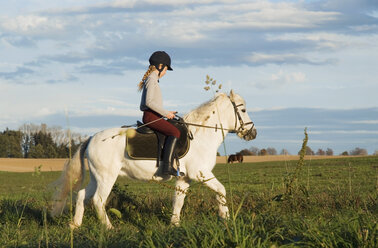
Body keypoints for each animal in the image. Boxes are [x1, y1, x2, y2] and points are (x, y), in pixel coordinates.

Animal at [51, 90, 256, 229]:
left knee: (82, 195)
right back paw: (109, 228)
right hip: (106, 177)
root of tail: (92, 138)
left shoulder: (184, 178)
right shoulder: (201, 173)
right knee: (98, 200)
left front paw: (174, 225)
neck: (200, 135)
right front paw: (226, 219)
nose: (253, 133)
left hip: (97, 177)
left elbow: (178, 201)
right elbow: (221, 191)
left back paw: (75, 225)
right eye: (244, 109)